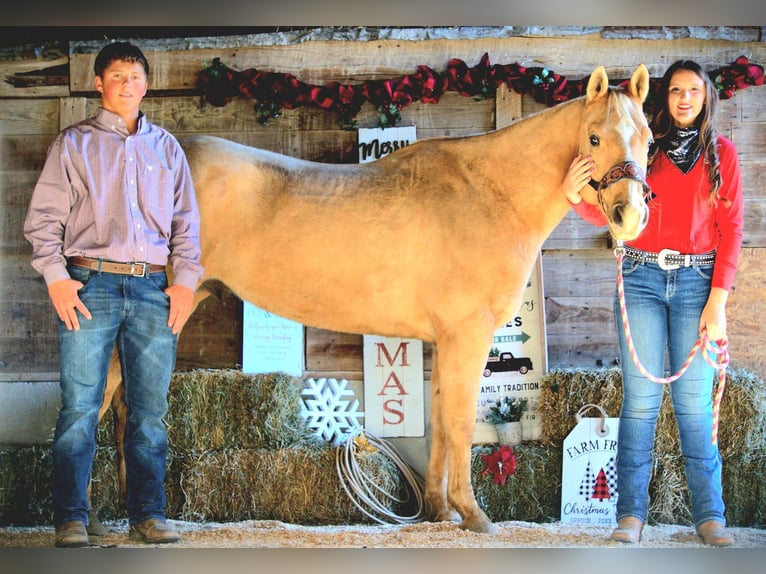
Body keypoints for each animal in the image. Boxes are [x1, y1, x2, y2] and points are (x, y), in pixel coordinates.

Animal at [93, 64, 651, 534]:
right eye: (594, 137)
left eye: (647, 137)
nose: (629, 216)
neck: (490, 193)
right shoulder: (468, 336)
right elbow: (461, 422)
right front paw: (474, 515)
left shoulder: (445, 340)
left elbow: (439, 419)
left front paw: (439, 511)